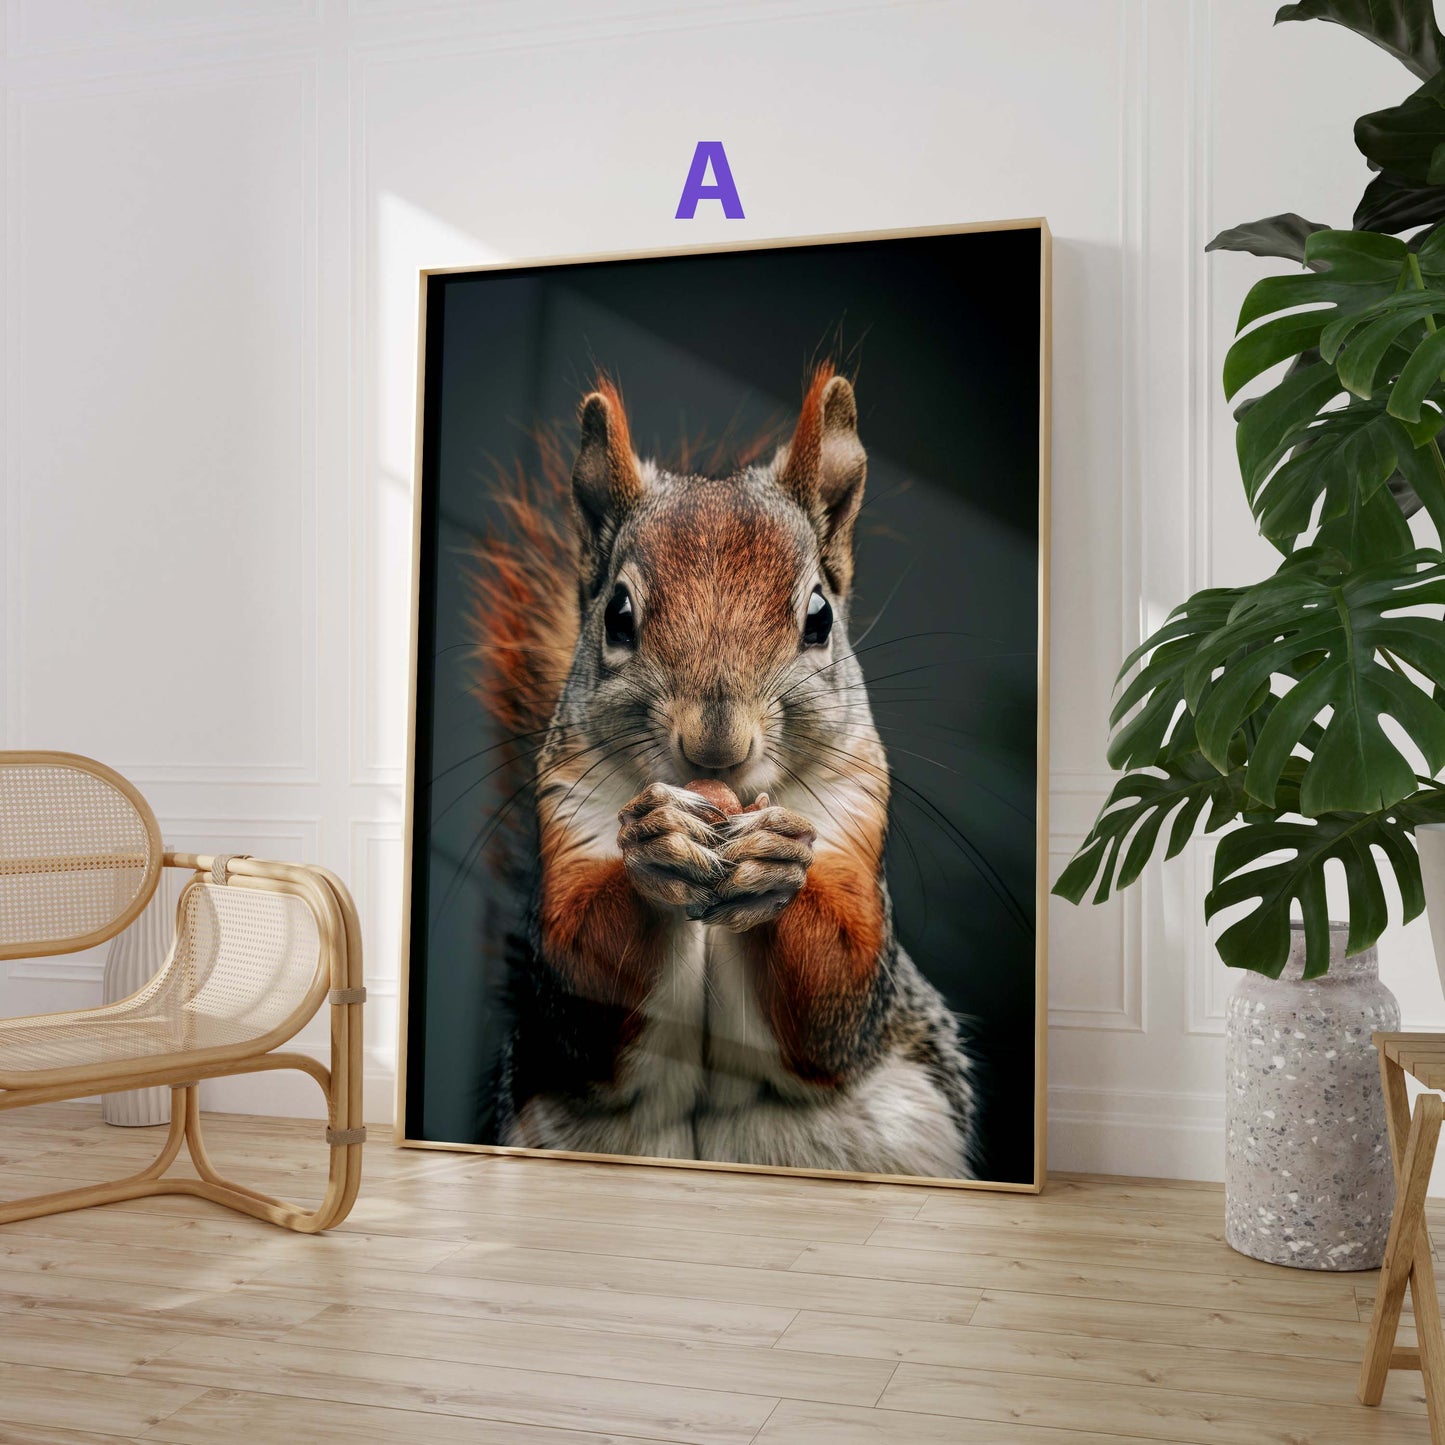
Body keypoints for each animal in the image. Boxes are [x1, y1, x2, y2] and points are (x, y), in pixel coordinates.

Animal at [473, 364, 978, 1178]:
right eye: (617, 615)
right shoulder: (568, 817)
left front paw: (776, 861)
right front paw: (656, 844)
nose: (715, 746)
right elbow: (580, 979)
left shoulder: (853, 816)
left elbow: (838, 992)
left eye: (819, 618)